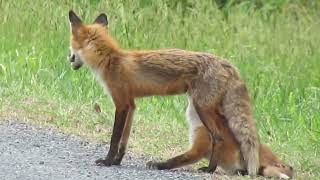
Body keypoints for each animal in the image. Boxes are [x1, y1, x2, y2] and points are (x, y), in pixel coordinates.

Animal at [67, 10, 260, 175]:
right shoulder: (131, 105)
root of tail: (227, 64)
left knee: (218, 137)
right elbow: (124, 141)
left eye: (71, 46)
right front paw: (116, 162)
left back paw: (210, 169)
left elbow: (115, 138)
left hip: (201, 108)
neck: (111, 60)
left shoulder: (121, 103)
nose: (68, 58)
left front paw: (107, 161)